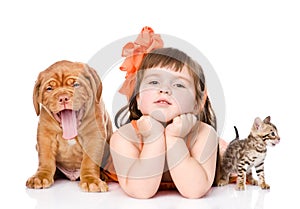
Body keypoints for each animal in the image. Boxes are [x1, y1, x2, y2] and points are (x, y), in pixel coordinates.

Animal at [25, 59, 112, 192]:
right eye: (49, 88)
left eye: (75, 85)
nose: (63, 98)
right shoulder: (45, 135)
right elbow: (45, 159)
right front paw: (40, 176)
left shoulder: (94, 136)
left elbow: (89, 161)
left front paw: (91, 180)